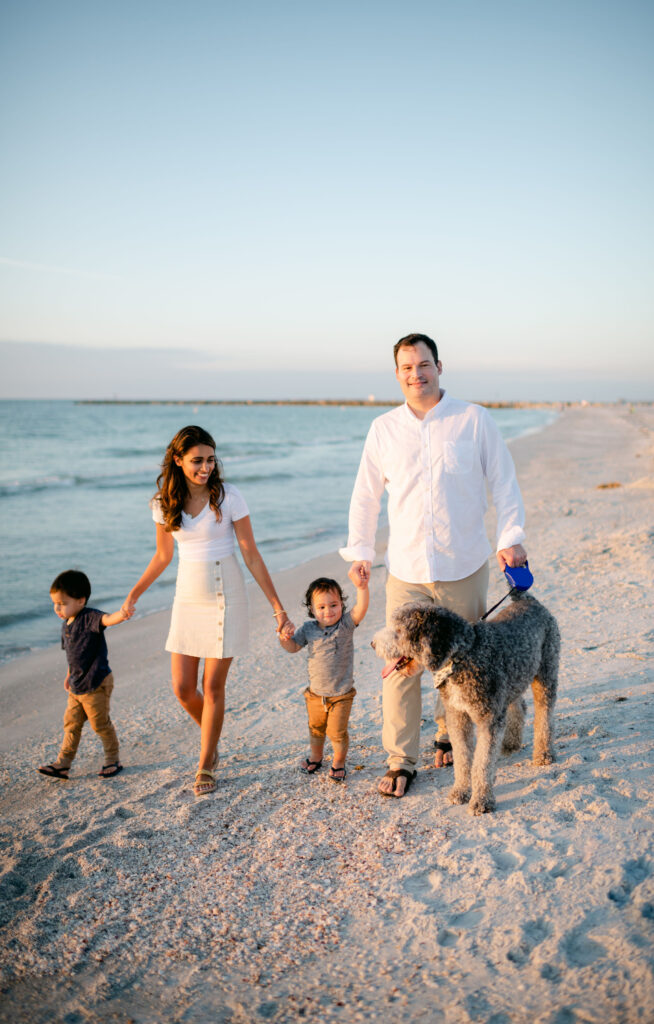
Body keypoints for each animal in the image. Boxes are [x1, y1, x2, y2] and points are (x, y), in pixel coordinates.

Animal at [376, 593, 560, 815]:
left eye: (399, 631)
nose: (373, 644)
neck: (462, 657)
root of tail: (529, 599)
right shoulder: (458, 717)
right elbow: (463, 759)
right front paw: (460, 792)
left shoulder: (488, 721)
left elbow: (482, 763)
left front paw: (481, 800)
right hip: (514, 679)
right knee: (519, 706)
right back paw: (511, 743)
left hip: (545, 675)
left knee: (544, 717)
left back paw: (543, 753)